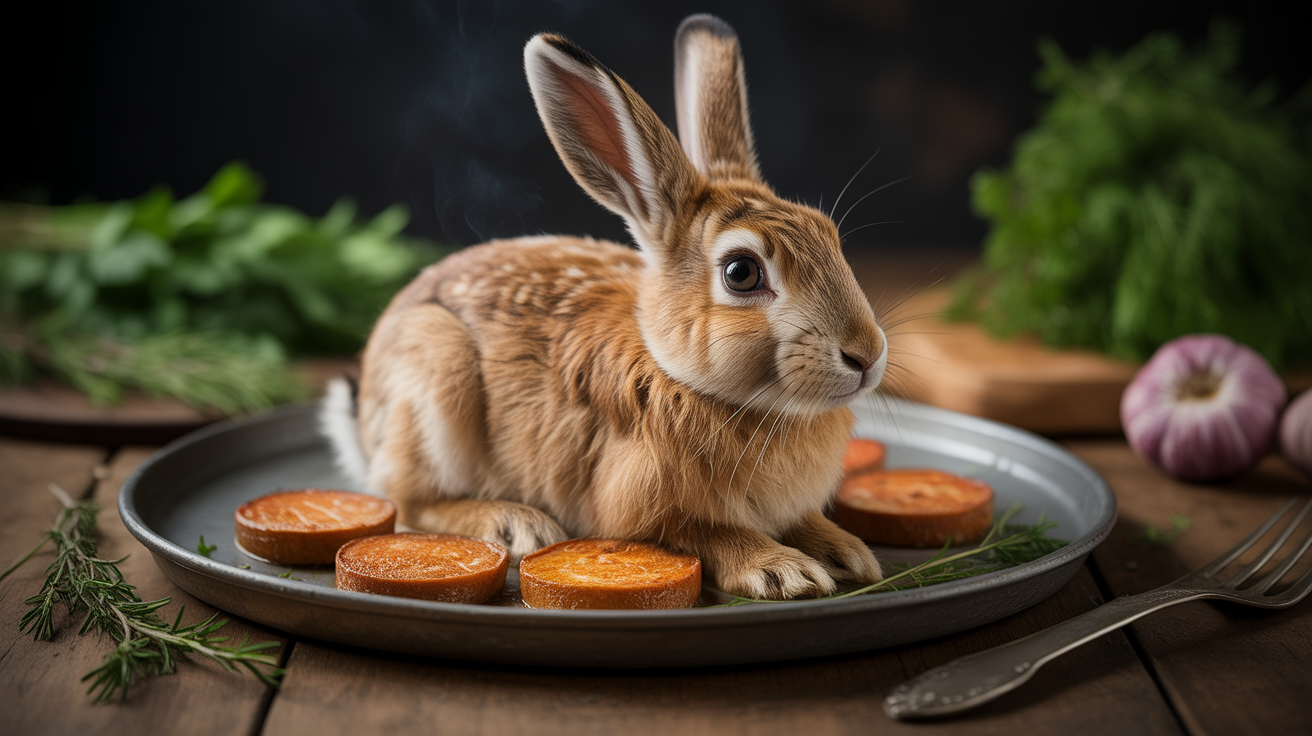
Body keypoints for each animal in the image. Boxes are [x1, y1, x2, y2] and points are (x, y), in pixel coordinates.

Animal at [321, 14, 888, 600]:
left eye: (830, 237)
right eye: (742, 273)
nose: (867, 356)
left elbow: (805, 522)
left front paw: (848, 554)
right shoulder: (644, 507)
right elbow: (710, 535)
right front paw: (784, 571)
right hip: (435, 372)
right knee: (411, 500)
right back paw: (515, 523)